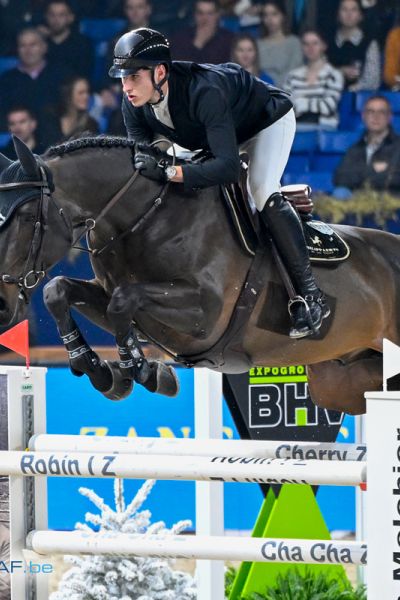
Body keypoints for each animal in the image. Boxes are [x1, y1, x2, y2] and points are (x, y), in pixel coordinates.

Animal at [0, 135, 396, 414]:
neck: (143, 217)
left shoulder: (206, 314)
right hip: (341, 382)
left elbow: (123, 301)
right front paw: (103, 371)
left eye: (25, 217)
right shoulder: (109, 292)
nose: (3, 308)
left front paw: (143, 370)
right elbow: (58, 290)